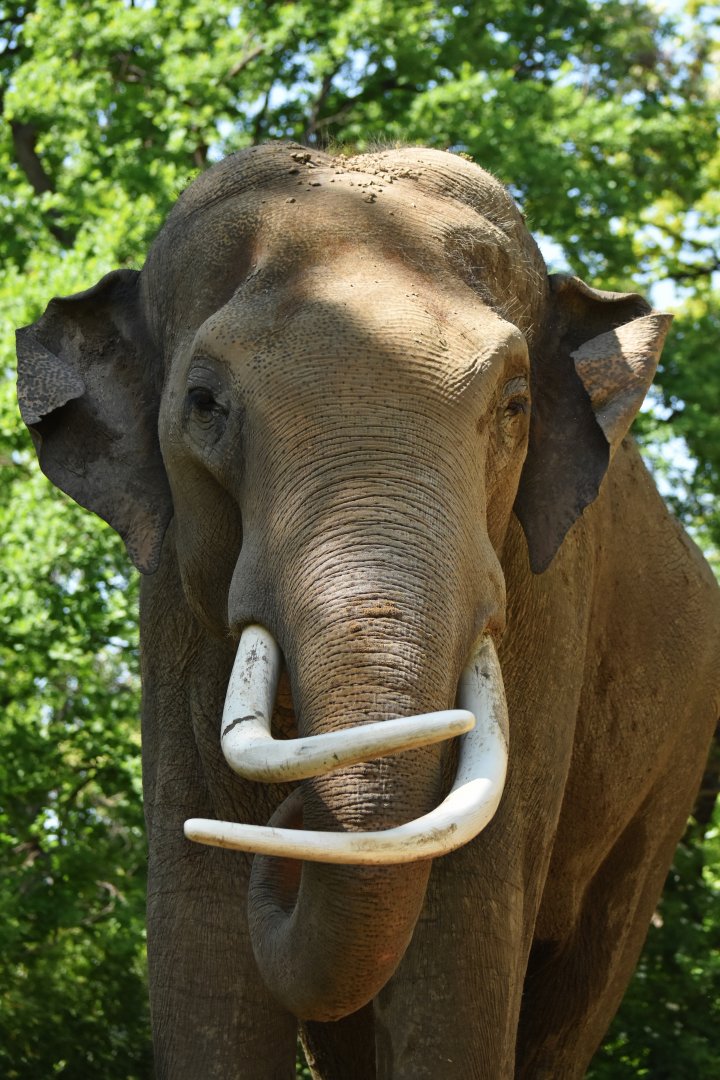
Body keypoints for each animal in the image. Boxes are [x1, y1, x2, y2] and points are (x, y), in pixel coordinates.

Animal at [16, 142, 720, 1080]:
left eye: (515, 406)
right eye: (204, 403)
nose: (292, 815)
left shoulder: (546, 601)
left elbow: (462, 930)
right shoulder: (168, 605)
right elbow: (199, 929)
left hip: (672, 769)